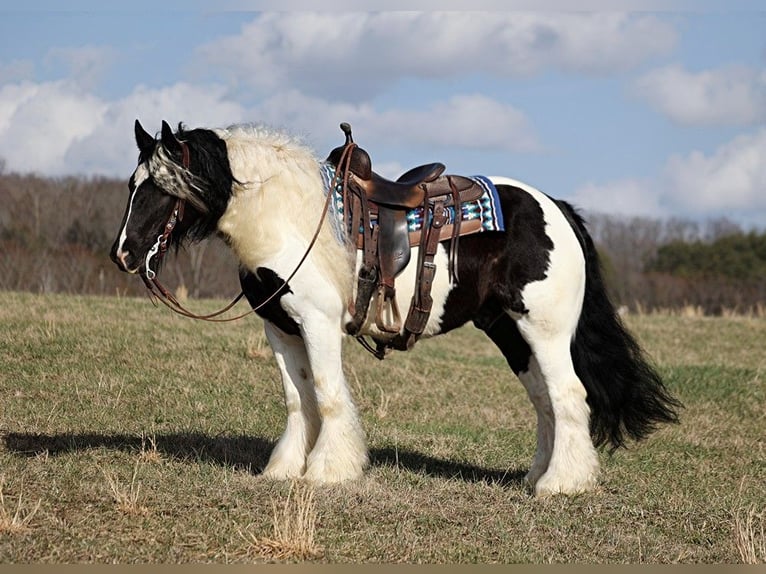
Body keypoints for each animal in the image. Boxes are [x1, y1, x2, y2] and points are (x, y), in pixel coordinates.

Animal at [109, 119, 684, 498]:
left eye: (160, 187)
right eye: (133, 185)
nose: (123, 254)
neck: (287, 216)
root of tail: (556, 207)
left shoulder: (318, 324)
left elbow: (328, 395)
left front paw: (329, 471)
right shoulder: (281, 329)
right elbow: (298, 400)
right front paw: (285, 469)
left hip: (544, 330)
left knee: (568, 396)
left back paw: (563, 484)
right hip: (509, 333)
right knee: (544, 401)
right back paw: (537, 476)